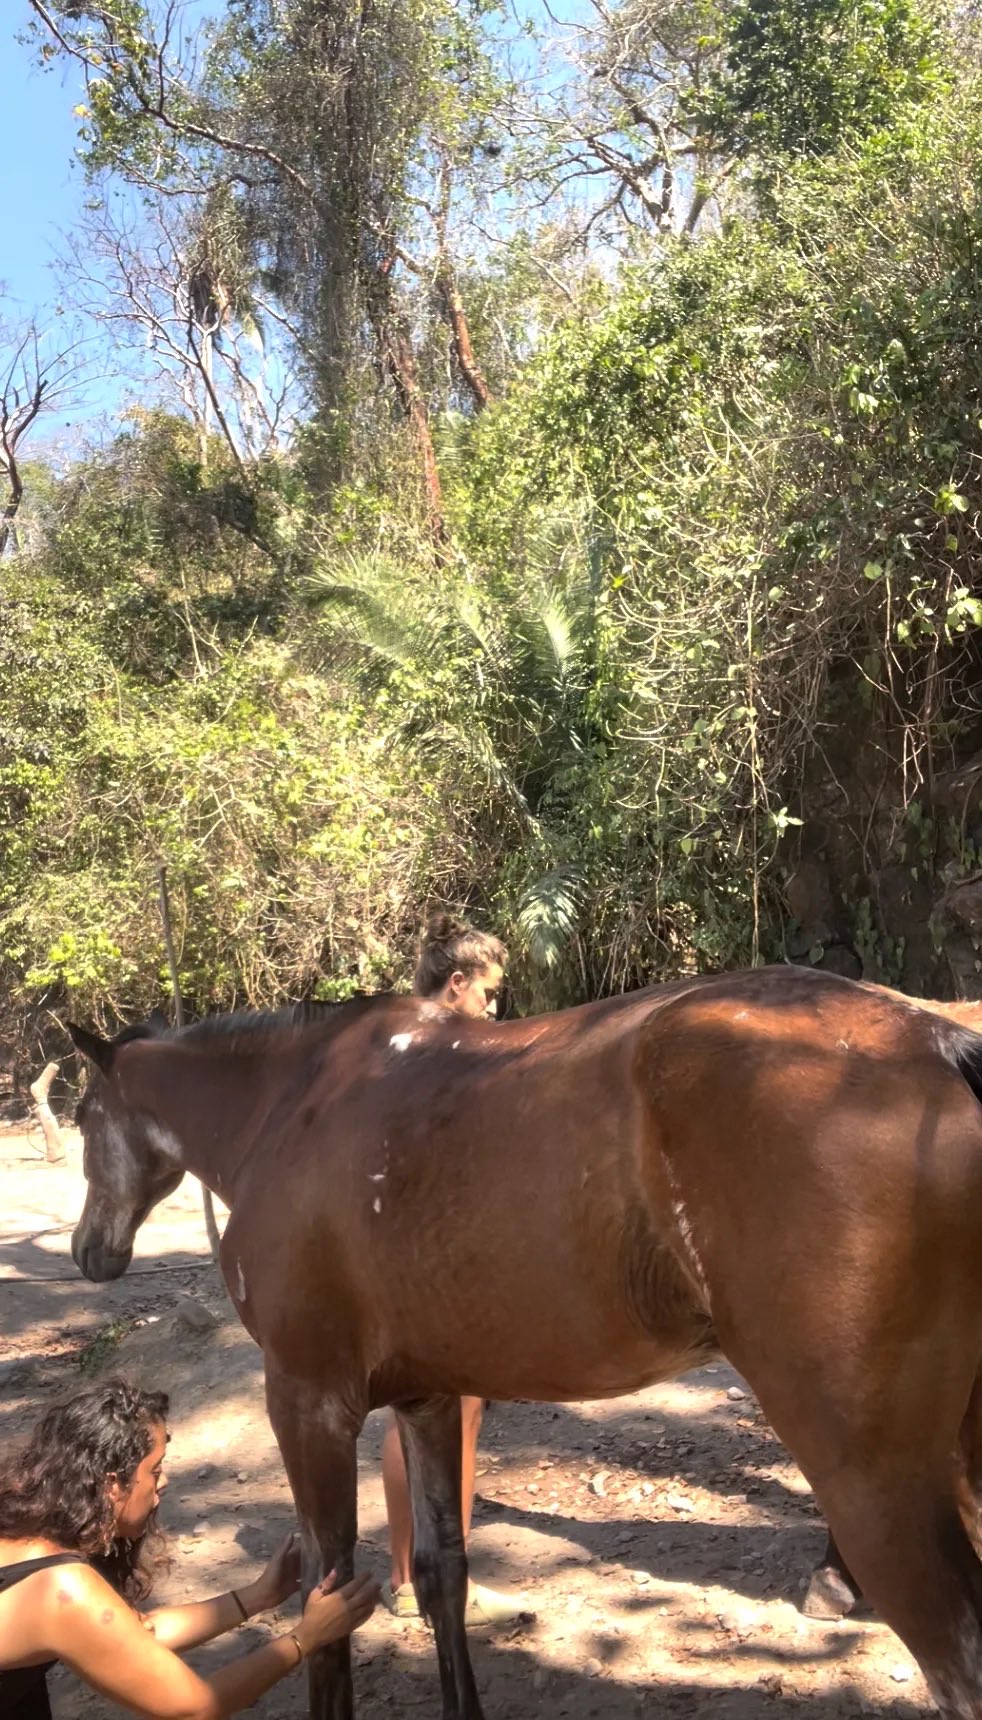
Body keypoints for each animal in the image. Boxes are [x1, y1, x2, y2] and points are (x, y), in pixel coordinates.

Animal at [66, 963, 982, 1720]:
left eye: (81, 1118)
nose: (88, 1251)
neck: (288, 1105)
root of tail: (938, 1044)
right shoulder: (426, 1399)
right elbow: (443, 1572)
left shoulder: (306, 1401)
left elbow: (324, 1603)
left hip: (870, 1478)